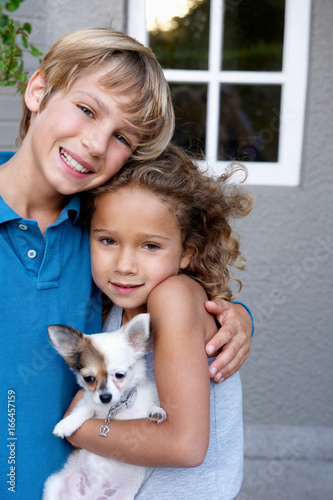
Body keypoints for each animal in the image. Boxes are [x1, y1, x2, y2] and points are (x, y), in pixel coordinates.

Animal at [42, 314, 165, 500]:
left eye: (120, 375)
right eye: (89, 379)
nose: (105, 397)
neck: (116, 408)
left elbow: (152, 407)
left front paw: (157, 412)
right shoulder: (89, 401)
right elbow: (86, 408)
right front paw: (67, 424)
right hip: (53, 486)